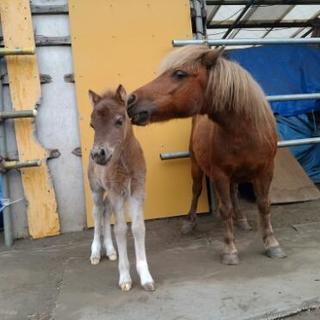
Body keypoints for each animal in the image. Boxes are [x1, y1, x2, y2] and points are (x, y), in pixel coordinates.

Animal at [86, 86, 154, 292]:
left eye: (119, 121)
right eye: (92, 125)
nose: (98, 154)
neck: (125, 162)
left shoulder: (137, 190)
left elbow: (138, 228)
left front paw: (146, 277)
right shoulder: (116, 191)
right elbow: (121, 230)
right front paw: (125, 278)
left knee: (106, 211)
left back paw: (110, 250)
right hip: (97, 189)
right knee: (98, 212)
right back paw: (95, 252)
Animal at [126, 45, 286, 264]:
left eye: (179, 74)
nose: (130, 100)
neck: (246, 132)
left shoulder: (266, 171)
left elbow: (263, 205)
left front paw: (272, 243)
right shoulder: (220, 174)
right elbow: (225, 208)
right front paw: (230, 250)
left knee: (234, 192)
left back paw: (241, 219)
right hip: (196, 166)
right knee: (196, 190)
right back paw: (189, 222)